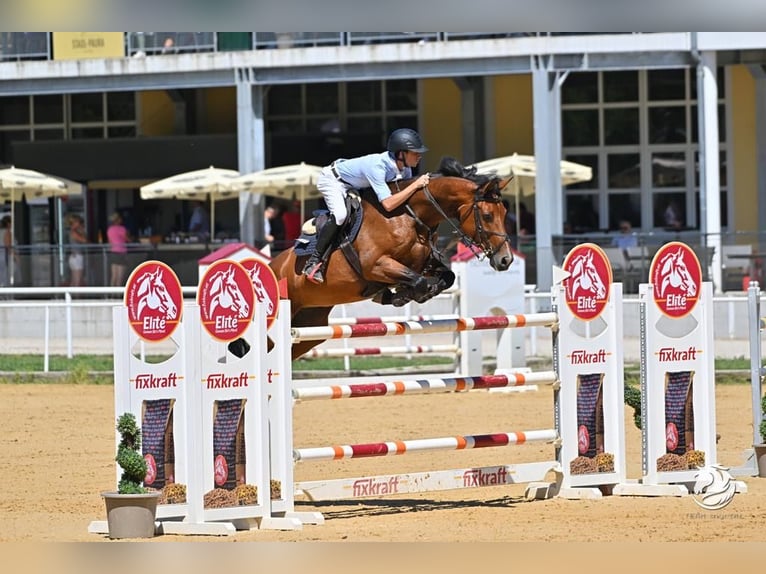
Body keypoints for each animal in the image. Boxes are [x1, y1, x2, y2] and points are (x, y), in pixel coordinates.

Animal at [270, 158, 516, 360]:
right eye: (487, 215)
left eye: (504, 213)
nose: (506, 260)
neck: (409, 216)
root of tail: (273, 266)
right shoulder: (376, 265)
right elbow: (420, 281)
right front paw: (405, 295)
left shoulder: (424, 263)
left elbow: (446, 276)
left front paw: (402, 294)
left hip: (312, 324)